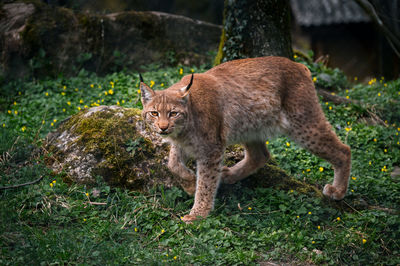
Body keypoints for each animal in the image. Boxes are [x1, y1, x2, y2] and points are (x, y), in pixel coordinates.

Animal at [138, 56, 350, 222]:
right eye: (154, 113)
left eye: (173, 113)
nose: (163, 128)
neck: (184, 126)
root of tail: (297, 64)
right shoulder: (182, 143)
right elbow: (173, 164)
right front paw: (190, 183)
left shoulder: (211, 149)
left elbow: (206, 182)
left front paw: (199, 212)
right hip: (250, 126)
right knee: (260, 156)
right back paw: (229, 174)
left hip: (303, 124)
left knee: (344, 149)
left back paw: (338, 191)